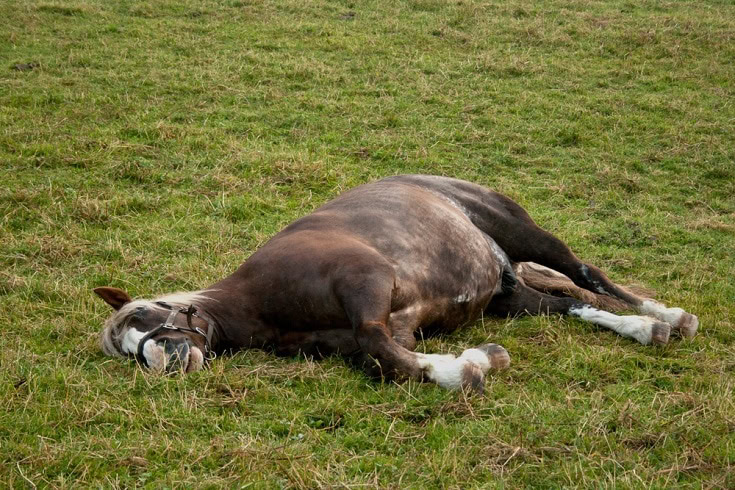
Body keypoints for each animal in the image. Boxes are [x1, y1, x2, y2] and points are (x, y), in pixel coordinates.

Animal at [95, 175, 699, 392]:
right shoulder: (389, 328)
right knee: (570, 303)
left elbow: (378, 344)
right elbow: (389, 360)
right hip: (510, 296)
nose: (161, 361)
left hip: (527, 236)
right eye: (125, 350)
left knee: (586, 274)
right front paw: (473, 361)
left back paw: (666, 315)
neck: (261, 300)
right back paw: (642, 328)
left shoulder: (368, 283)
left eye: (145, 314)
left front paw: (470, 368)